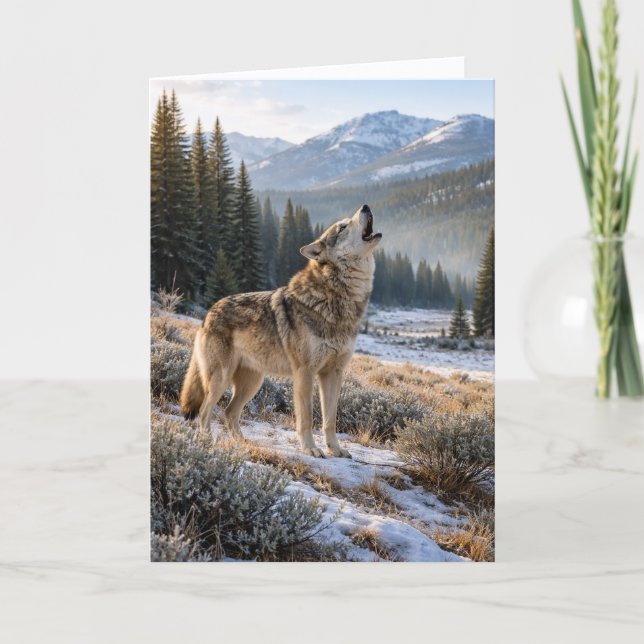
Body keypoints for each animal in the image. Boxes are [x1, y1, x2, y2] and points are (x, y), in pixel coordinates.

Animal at [180, 204, 382, 458]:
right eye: (343, 226)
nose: (366, 206)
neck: (337, 300)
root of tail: (208, 313)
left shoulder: (333, 373)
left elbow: (330, 419)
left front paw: (335, 449)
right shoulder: (305, 373)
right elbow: (307, 417)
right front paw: (311, 449)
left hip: (252, 383)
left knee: (229, 412)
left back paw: (244, 444)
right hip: (221, 379)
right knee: (205, 410)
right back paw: (208, 443)